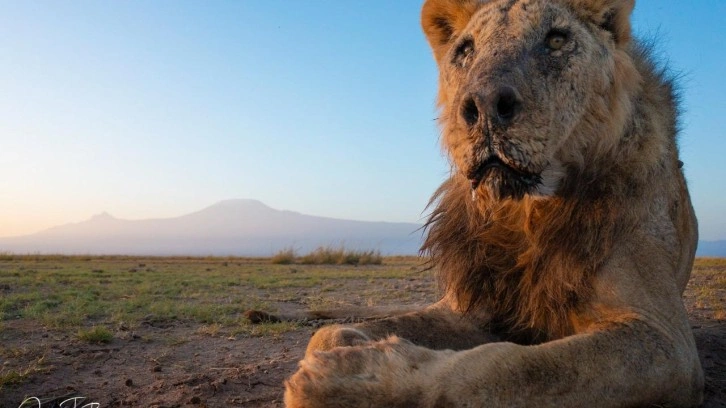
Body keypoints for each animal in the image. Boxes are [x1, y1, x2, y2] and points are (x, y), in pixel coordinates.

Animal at [282, 0, 704, 406]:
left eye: (556, 40)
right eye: (466, 50)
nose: (484, 105)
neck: (523, 212)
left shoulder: (665, 339)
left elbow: (508, 368)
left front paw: (354, 380)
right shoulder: (470, 306)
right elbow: (327, 334)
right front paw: (349, 345)